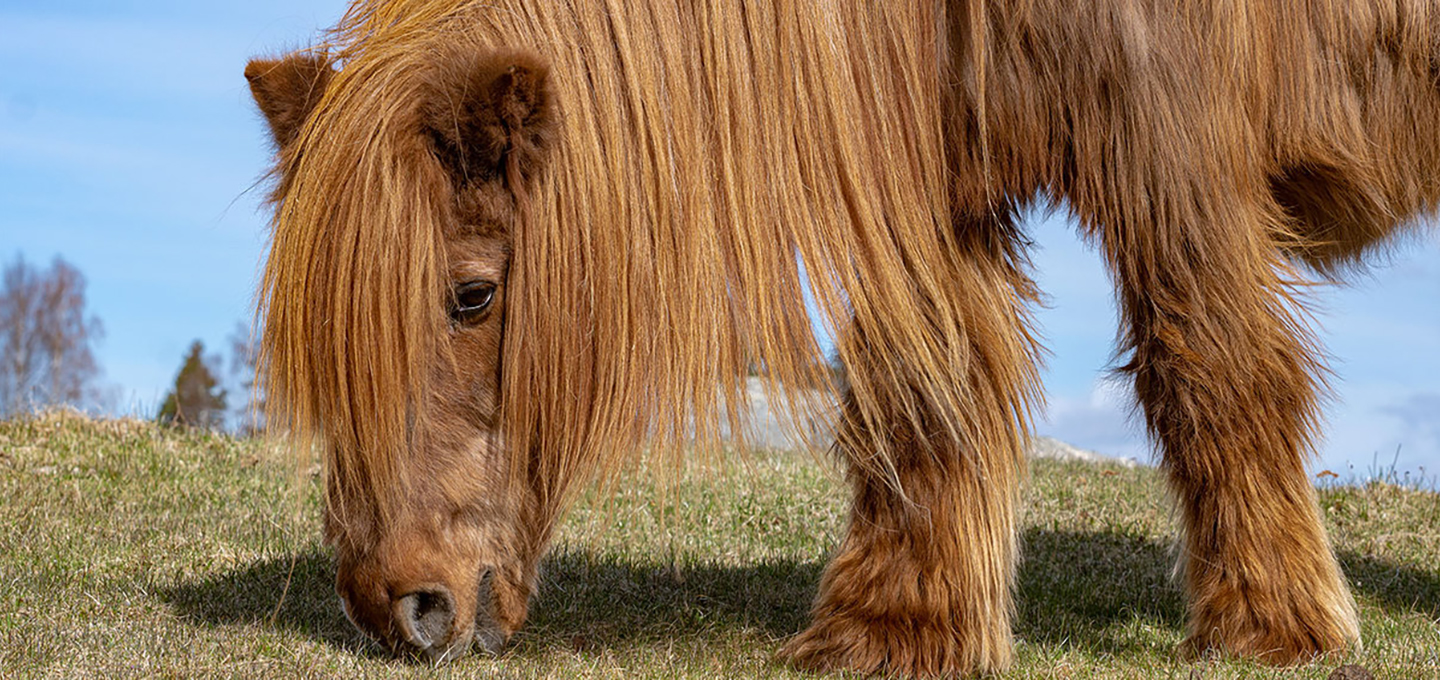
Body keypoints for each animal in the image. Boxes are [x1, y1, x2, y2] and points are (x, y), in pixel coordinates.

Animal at [244, 0, 1428, 674]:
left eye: (472, 296)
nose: (393, 605)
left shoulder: (1166, 147)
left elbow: (1209, 369)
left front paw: (1271, 626)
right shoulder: (933, 182)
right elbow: (927, 392)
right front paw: (891, 630)